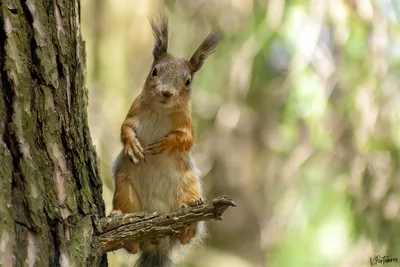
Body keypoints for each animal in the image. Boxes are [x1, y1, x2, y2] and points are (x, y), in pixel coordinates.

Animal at [111, 14, 222, 267]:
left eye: (188, 81)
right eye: (154, 71)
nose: (166, 92)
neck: (161, 109)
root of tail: (156, 242)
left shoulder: (186, 124)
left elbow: (186, 140)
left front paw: (165, 145)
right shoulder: (134, 112)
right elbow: (125, 129)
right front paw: (133, 146)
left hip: (188, 184)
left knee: (185, 236)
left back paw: (189, 218)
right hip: (125, 190)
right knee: (131, 241)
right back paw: (120, 218)